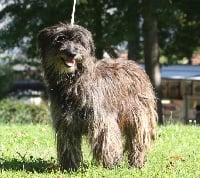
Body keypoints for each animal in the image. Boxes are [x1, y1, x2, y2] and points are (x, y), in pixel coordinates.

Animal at [36, 22, 157, 171]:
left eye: (79, 41)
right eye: (60, 39)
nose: (72, 53)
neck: (74, 82)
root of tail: (135, 65)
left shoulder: (101, 120)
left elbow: (107, 141)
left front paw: (110, 164)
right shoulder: (66, 123)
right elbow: (69, 145)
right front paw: (70, 166)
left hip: (138, 116)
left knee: (137, 140)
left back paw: (137, 162)